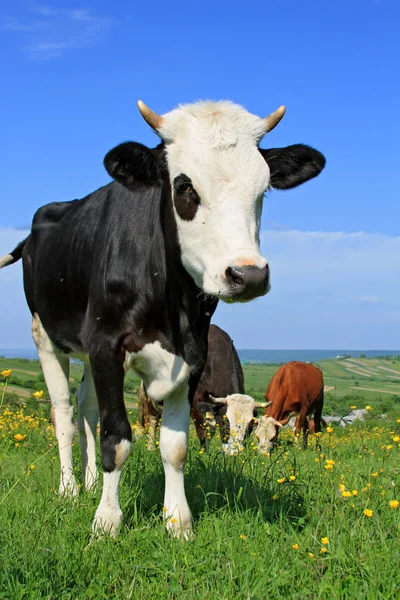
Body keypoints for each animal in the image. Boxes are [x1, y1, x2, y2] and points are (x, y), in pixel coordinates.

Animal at [0, 99, 324, 540]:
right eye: (185, 187)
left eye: (262, 189)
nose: (249, 274)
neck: (170, 304)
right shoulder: (106, 344)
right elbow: (116, 438)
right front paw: (106, 522)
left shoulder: (193, 355)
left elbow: (175, 446)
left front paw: (177, 521)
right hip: (46, 335)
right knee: (64, 411)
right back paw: (70, 489)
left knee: (86, 407)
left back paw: (89, 481)